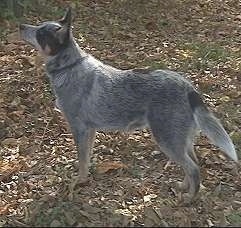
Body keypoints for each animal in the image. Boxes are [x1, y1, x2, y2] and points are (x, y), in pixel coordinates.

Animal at [18, 8, 237, 204]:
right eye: (38, 26)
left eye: (40, 33)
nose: (20, 26)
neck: (69, 66)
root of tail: (189, 88)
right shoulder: (90, 130)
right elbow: (86, 158)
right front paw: (84, 179)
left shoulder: (79, 129)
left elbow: (81, 160)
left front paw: (78, 182)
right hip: (181, 139)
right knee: (193, 163)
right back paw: (184, 187)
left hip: (167, 140)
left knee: (193, 168)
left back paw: (190, 198)